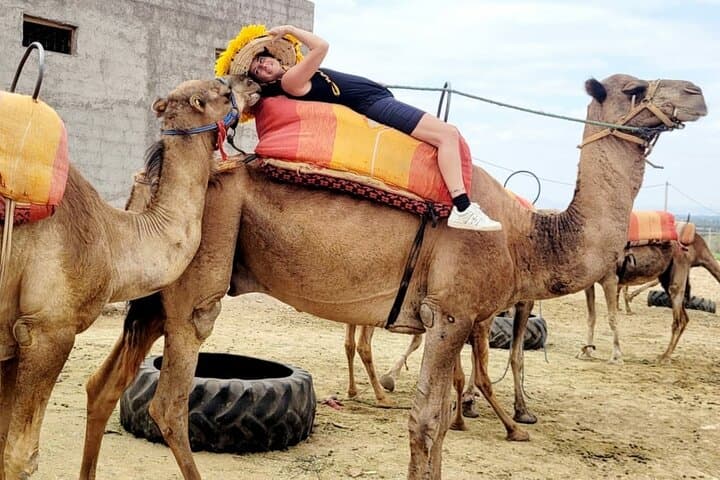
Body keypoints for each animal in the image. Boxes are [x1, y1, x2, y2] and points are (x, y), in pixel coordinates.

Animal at [0, 75, 260, 479]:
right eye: (220, 89)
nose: (253, 82)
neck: (113, 239)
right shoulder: (48, 330)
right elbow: (20, 456)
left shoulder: (12, 341)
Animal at [76, 74, 706, 480]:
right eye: (633, 89)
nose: (696, 94)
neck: (526, 236)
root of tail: (153, 168)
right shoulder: (452, 315)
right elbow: (426, 422)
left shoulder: (456, 320)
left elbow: (441, 416)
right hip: (196, 284)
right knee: (168, 406)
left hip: (157, 290)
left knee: (102, 384)